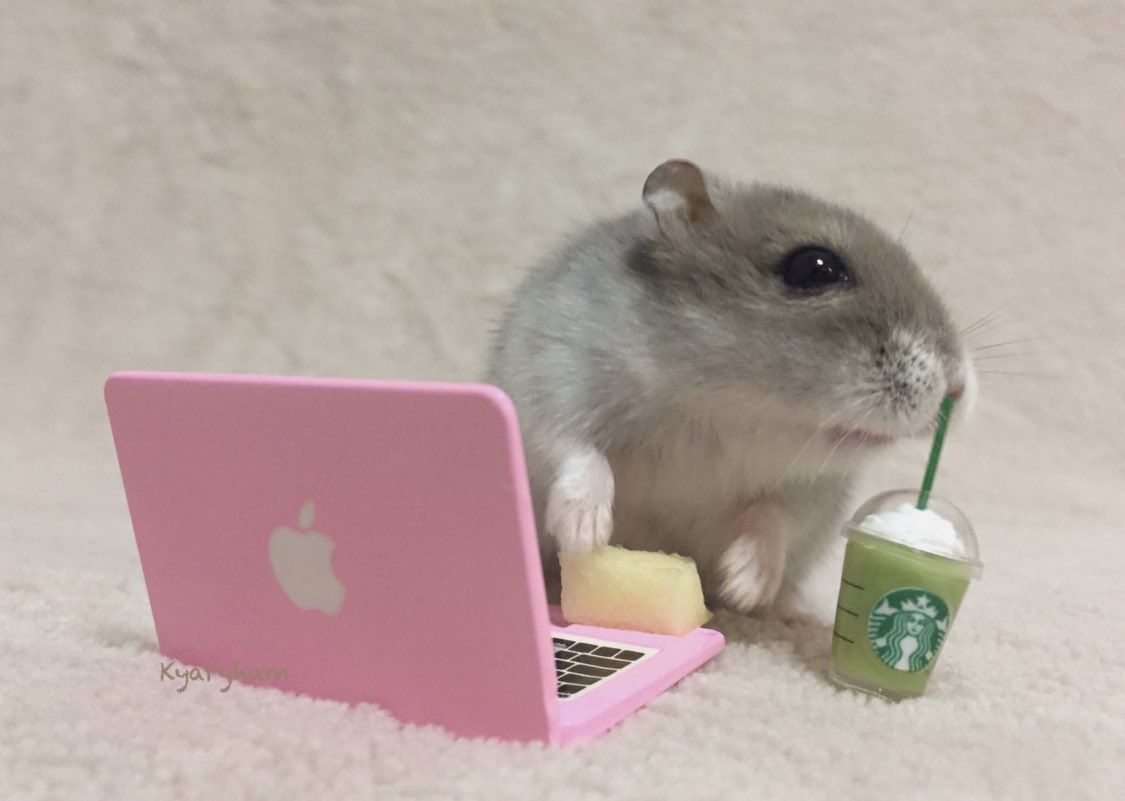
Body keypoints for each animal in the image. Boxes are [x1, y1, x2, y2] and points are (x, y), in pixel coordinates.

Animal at [487, 159, 976, 614]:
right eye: (814, 268)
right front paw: (584, 536)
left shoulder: (815, 488)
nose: (958, 388)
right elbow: (578, 453)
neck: (721, 408)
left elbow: (775, 517)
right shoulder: (547, 380)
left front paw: (743, 589)